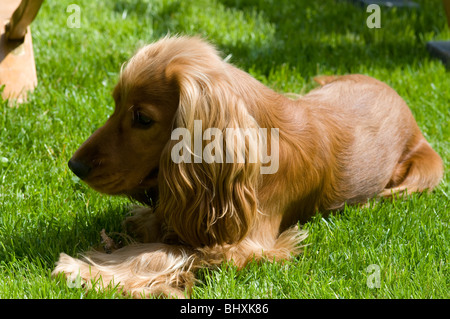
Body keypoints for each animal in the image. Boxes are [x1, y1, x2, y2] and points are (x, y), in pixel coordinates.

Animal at [52, 36, 442, 298]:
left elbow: (161, 252)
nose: (75, 165)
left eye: (142, 118)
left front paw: (86, 269)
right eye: (115, 104)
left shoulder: (247, 247)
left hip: (422, 172)